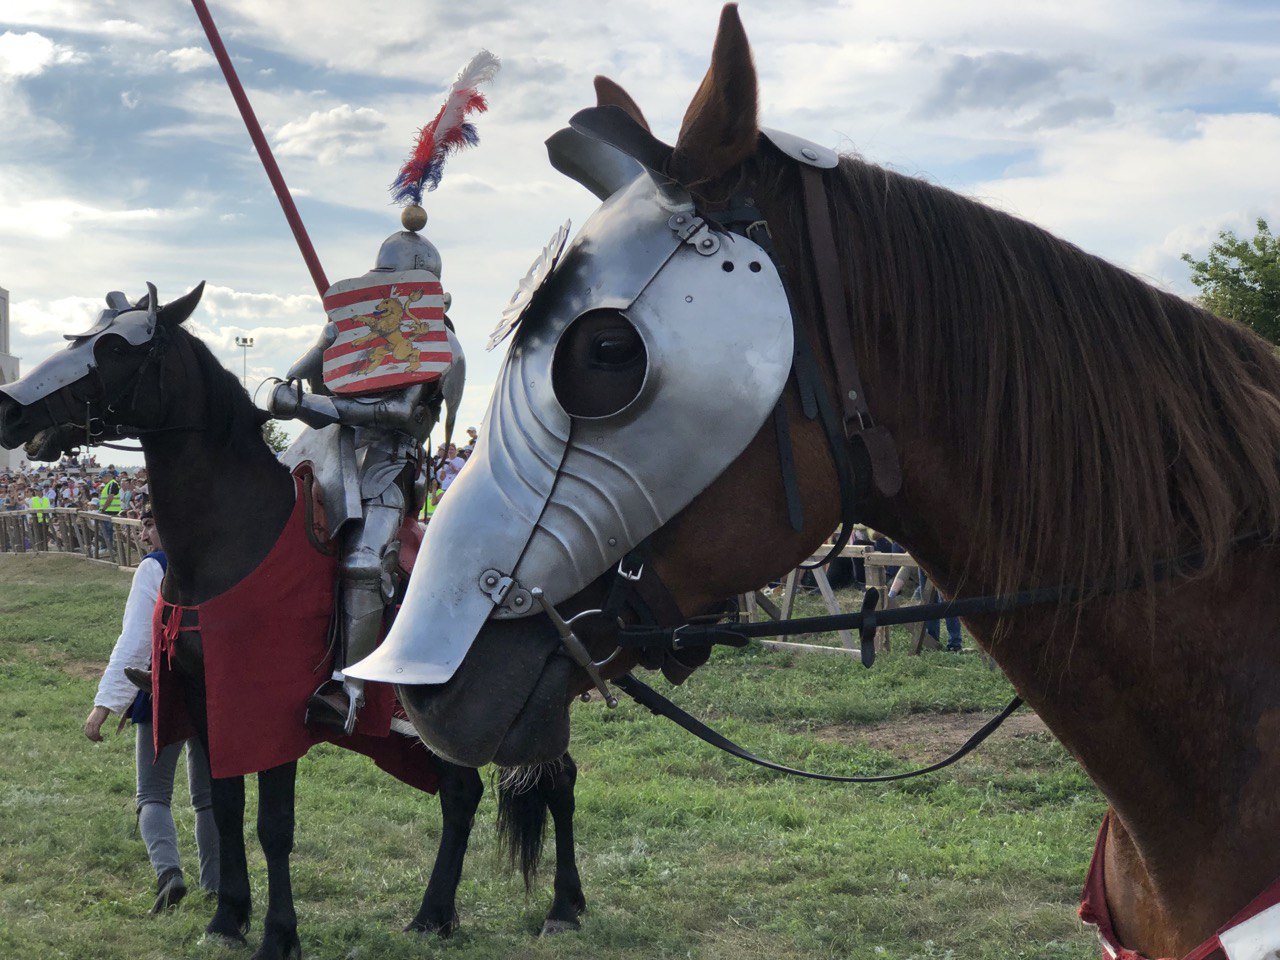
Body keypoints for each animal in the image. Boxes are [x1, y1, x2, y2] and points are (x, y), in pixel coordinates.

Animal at [0, 289, 588, 957]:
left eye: (117, 347)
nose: (12, 409)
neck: (231, 541)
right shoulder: (209, 703)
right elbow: (225, 807)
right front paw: (227, 917)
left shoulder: (274, 713)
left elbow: (273, 825)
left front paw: (278, 934)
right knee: (465, 794)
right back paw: (435, 913)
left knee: (556, 780)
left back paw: (562, 907)